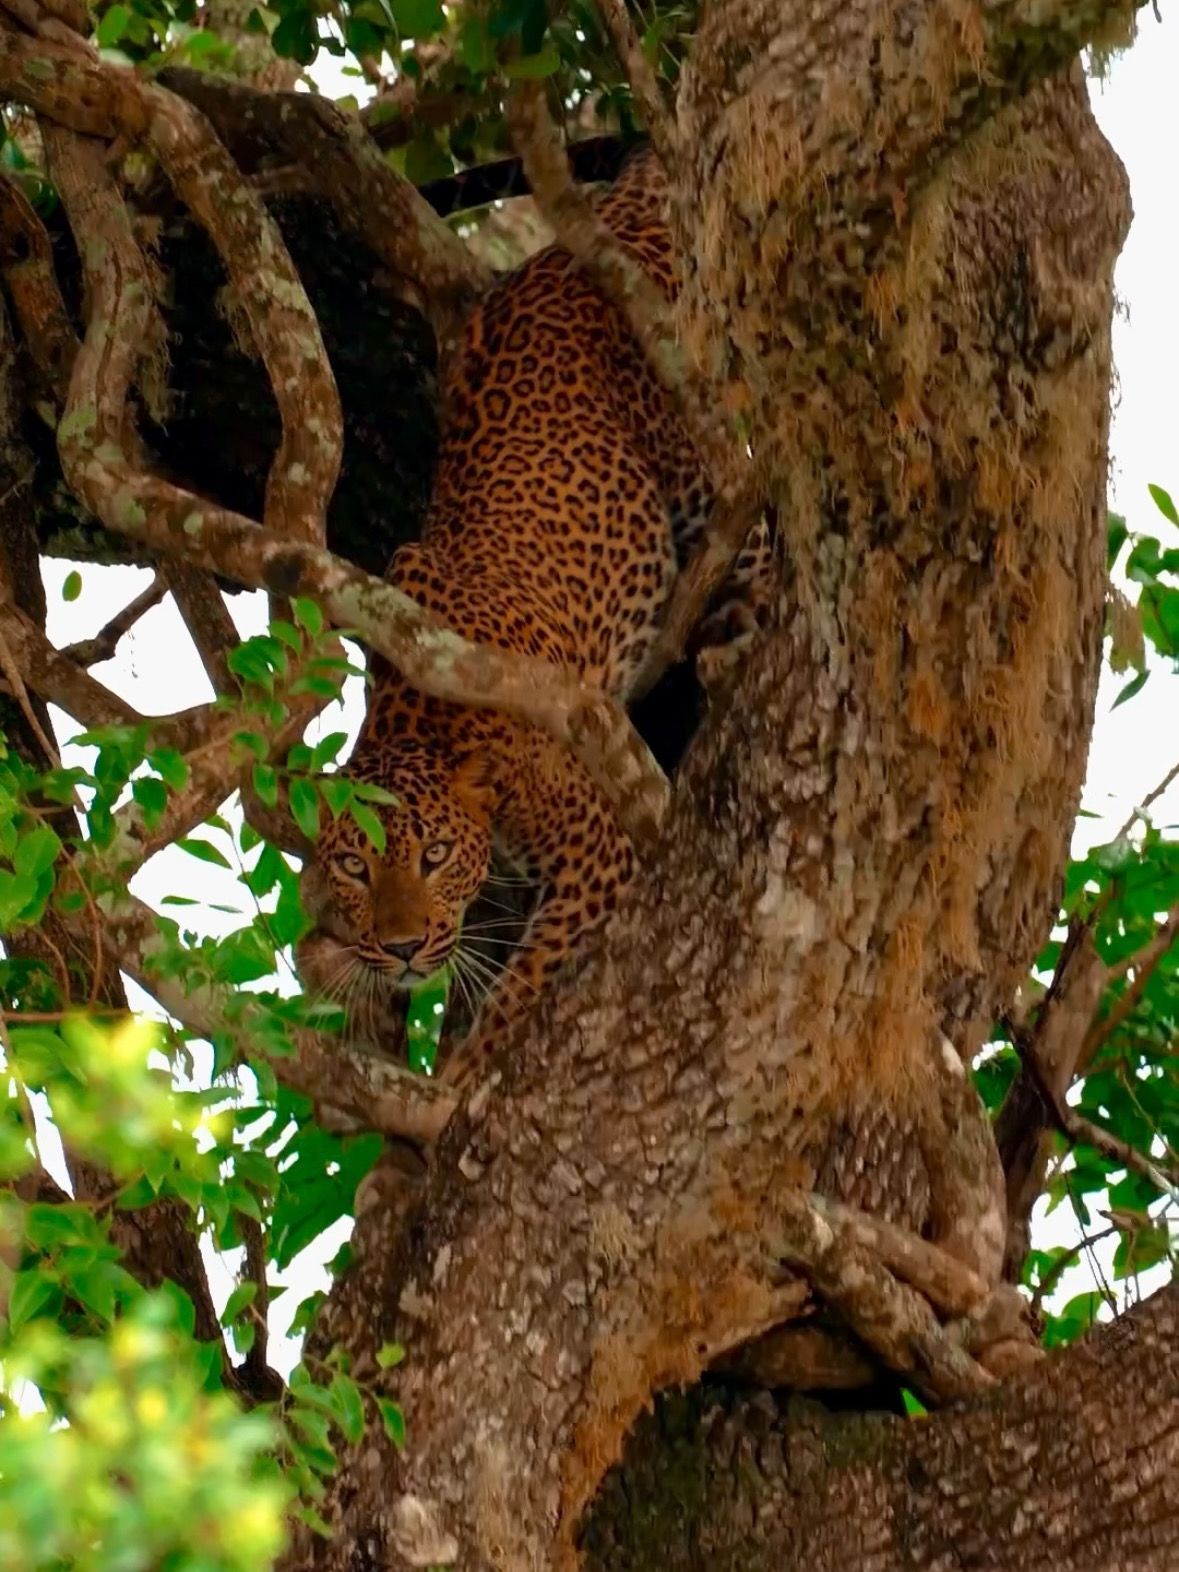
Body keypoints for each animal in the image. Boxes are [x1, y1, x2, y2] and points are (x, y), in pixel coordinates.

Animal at [295, 146, 772, 1082]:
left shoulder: (598, 849)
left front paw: (461, 1081)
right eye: (356, 868)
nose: (402, 948)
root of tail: (604, 221)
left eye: (434, 857)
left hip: (701, 464)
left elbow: (524, 986)